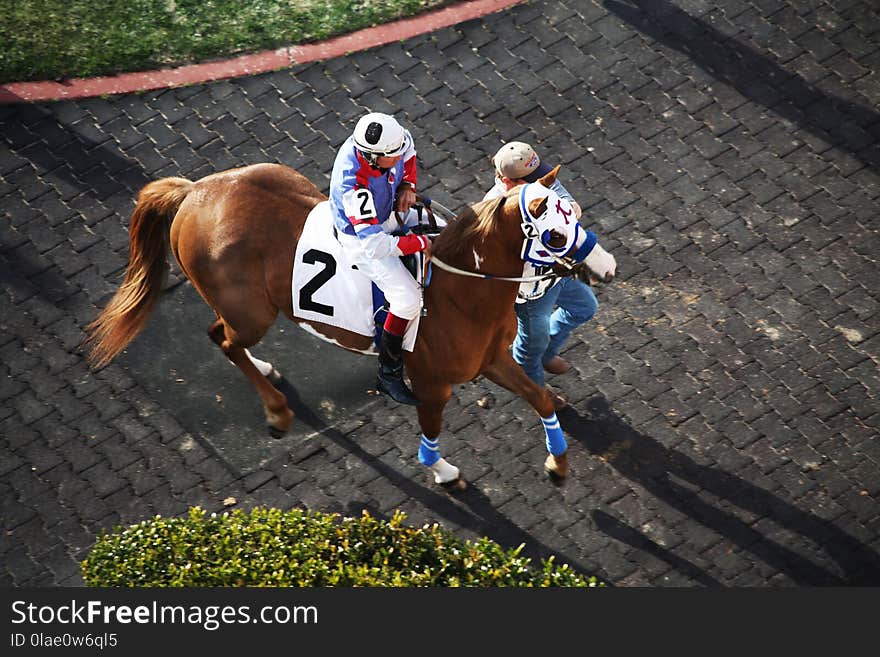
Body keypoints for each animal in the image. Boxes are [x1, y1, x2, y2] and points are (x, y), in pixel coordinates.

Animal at [89, 164, 612, 486]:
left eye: (576, 213)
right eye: (556, 234)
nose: (606, 267)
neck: (460, 288)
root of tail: (195, 192)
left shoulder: (492, 360)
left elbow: (542, 398)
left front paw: (558, 462)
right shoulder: (432, 384)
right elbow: (431, 428)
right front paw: (441, 470)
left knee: (223, 337)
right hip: (252, 313)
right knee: (223, 340)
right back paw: (277, 410)